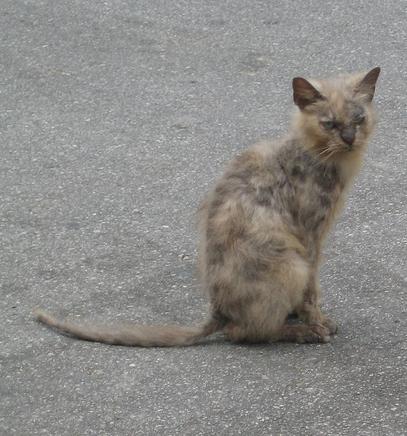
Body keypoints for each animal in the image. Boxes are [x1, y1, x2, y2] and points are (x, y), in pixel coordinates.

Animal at [33, 67, 380, 348]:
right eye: (329, 124)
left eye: (359, 119)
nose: (350, 138)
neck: (317, 157)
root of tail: (217, 311)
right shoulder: (310, 239)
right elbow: (312, 293)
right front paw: (318, 323)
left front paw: (307, 317)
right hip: (291, 264)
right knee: (243, 333)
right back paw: (302, 333)